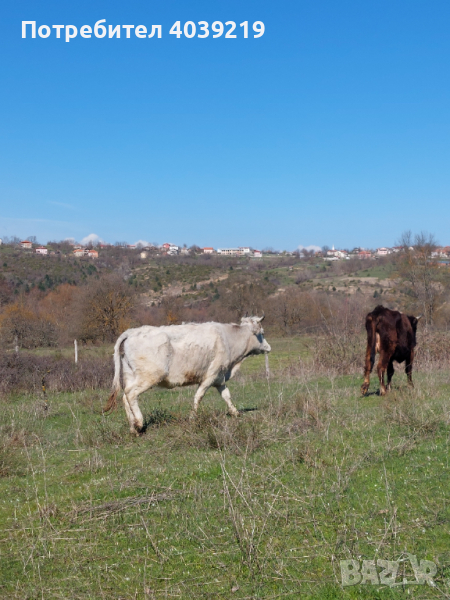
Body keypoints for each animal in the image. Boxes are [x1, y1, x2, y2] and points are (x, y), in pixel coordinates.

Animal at [103, 316, 270, 434]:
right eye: (262, 333)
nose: (268, 347)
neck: (228, 339)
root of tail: (132, 332)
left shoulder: (219, 378)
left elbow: (226, 396)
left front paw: (235, 413)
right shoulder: (210, 376)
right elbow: (199, 396)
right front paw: (192, 417)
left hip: (130, 375)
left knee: (125, 397)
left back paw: (133, 428)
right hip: (149, 376)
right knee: (131, 394)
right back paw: (138, 423)